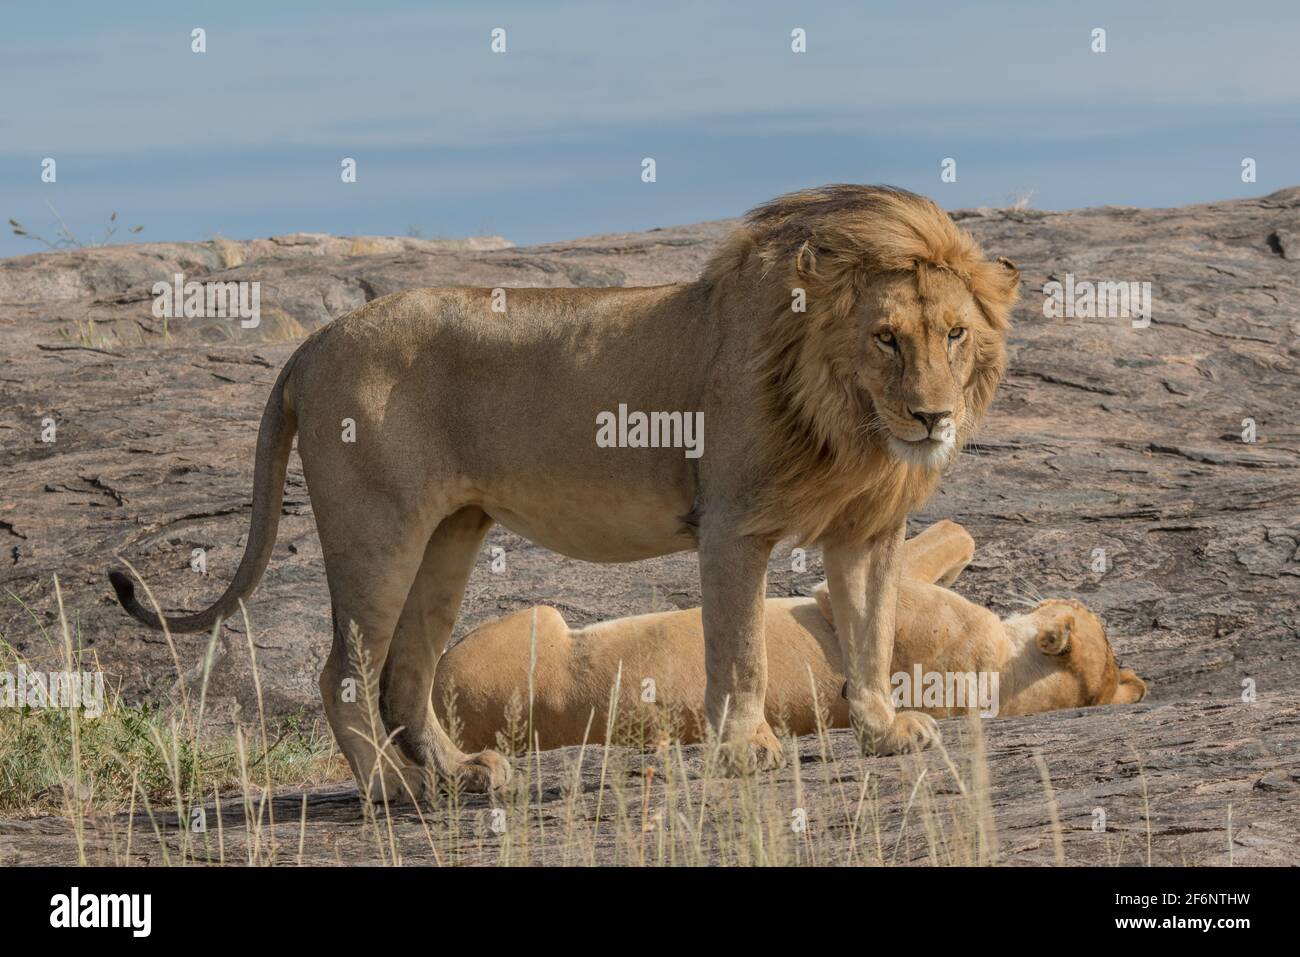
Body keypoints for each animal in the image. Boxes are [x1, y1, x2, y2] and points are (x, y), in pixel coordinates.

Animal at [106, 183, 1019, 795]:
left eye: (955, 333)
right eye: (886, 338)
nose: (932, 417)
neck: (849, 421)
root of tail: (315, 341)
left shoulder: (867, 531)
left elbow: (871, 633)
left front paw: (883, 730)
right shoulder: (732, 524)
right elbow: (743, 648)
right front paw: (743, 747)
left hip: (451, 533)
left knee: (407, 670)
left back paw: (465, 774)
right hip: (378, 530)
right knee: (343, 671)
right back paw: (393, 790)